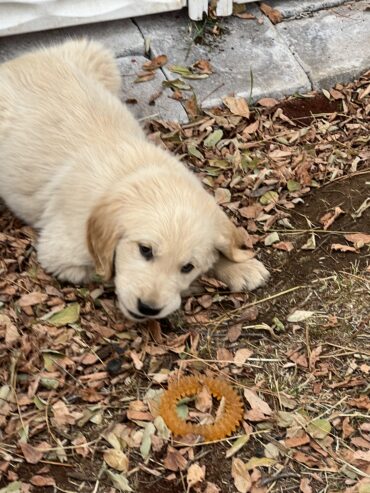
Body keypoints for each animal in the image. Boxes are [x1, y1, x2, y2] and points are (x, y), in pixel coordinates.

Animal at [0, 40, 268, 320]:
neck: (130, 176)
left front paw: (241, 267)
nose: (148, 308)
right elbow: (106, 272)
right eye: (145, 250)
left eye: (187, 266)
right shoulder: (60, 254)